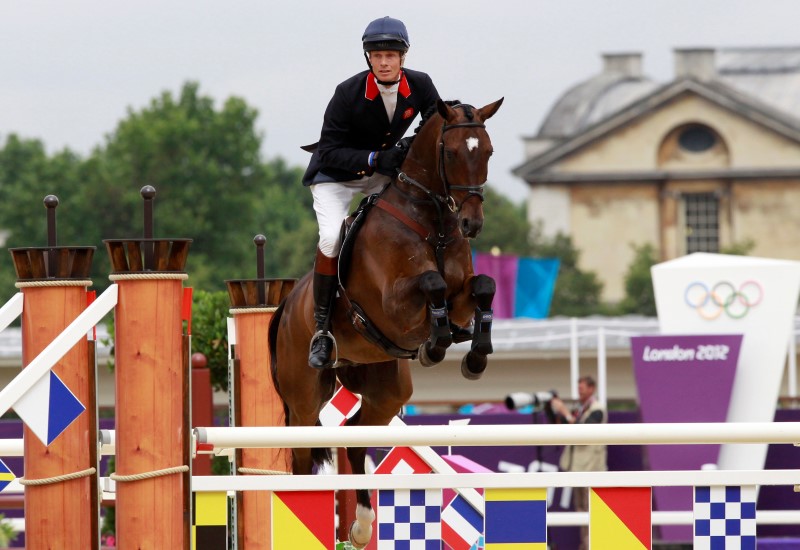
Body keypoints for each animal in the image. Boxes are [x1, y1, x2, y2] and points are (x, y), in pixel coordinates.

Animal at [272, 97, 504, 548]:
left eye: (487, 151)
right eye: (452, 153)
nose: (472, 225)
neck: (434, 224)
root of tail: (287, 304)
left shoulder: (462, 295)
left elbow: (483, 286)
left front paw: (475, 354)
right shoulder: (393, 306)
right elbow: (431, 285)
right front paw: (435, 344)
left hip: (386, 388)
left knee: (355, 435)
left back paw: (362, 525)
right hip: (304, 393)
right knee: (303, 450)